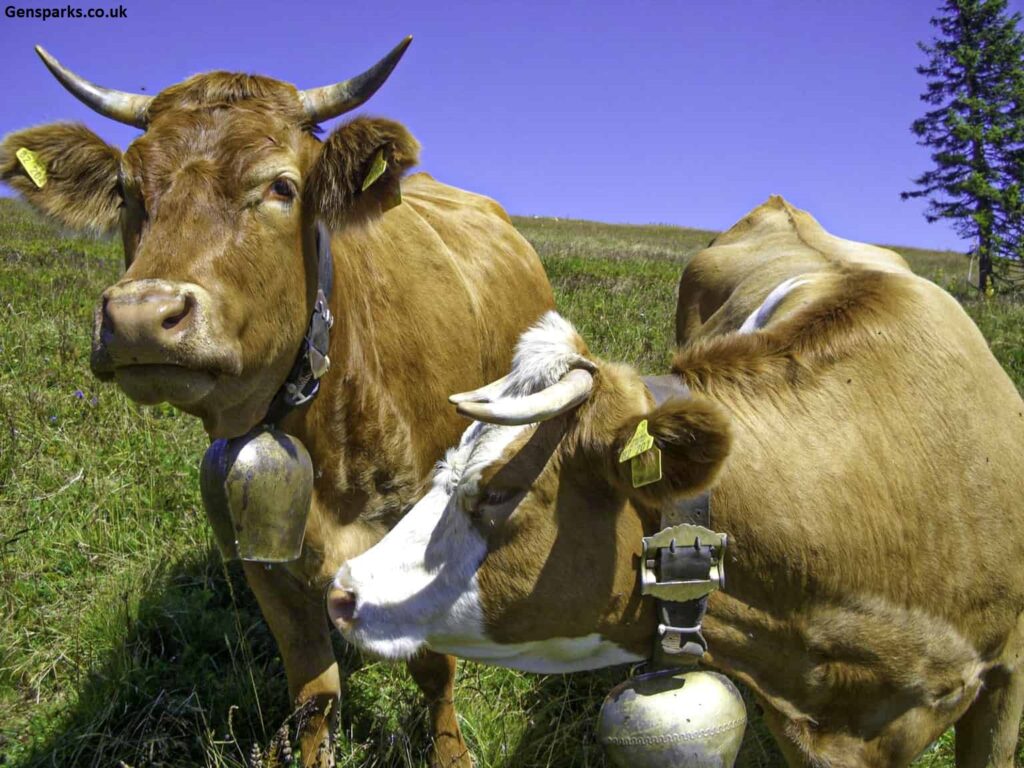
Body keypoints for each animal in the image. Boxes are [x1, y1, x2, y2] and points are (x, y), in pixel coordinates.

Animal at [0, 40, 555, 767]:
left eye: (281, 187)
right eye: (126, 191)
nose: (141, 317)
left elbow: (435, 670)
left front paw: (449, 751)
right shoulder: (267, 559)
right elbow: (314, 688)